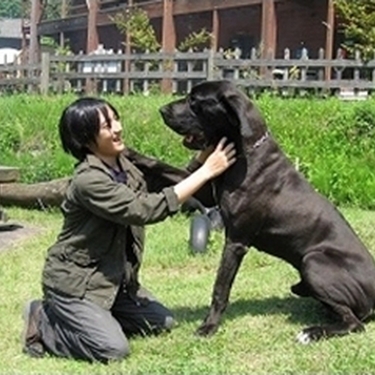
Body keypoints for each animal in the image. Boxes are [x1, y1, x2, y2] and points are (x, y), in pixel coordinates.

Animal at [160, 81, 375, 346]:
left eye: (194, 101)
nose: (161, 110)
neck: (245, 151)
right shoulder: (204, 194)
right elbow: (168, 175)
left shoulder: (236, 242)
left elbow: (220, 287)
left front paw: (209, 326)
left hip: (314, 261)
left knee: (355, 322)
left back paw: (311, 332)